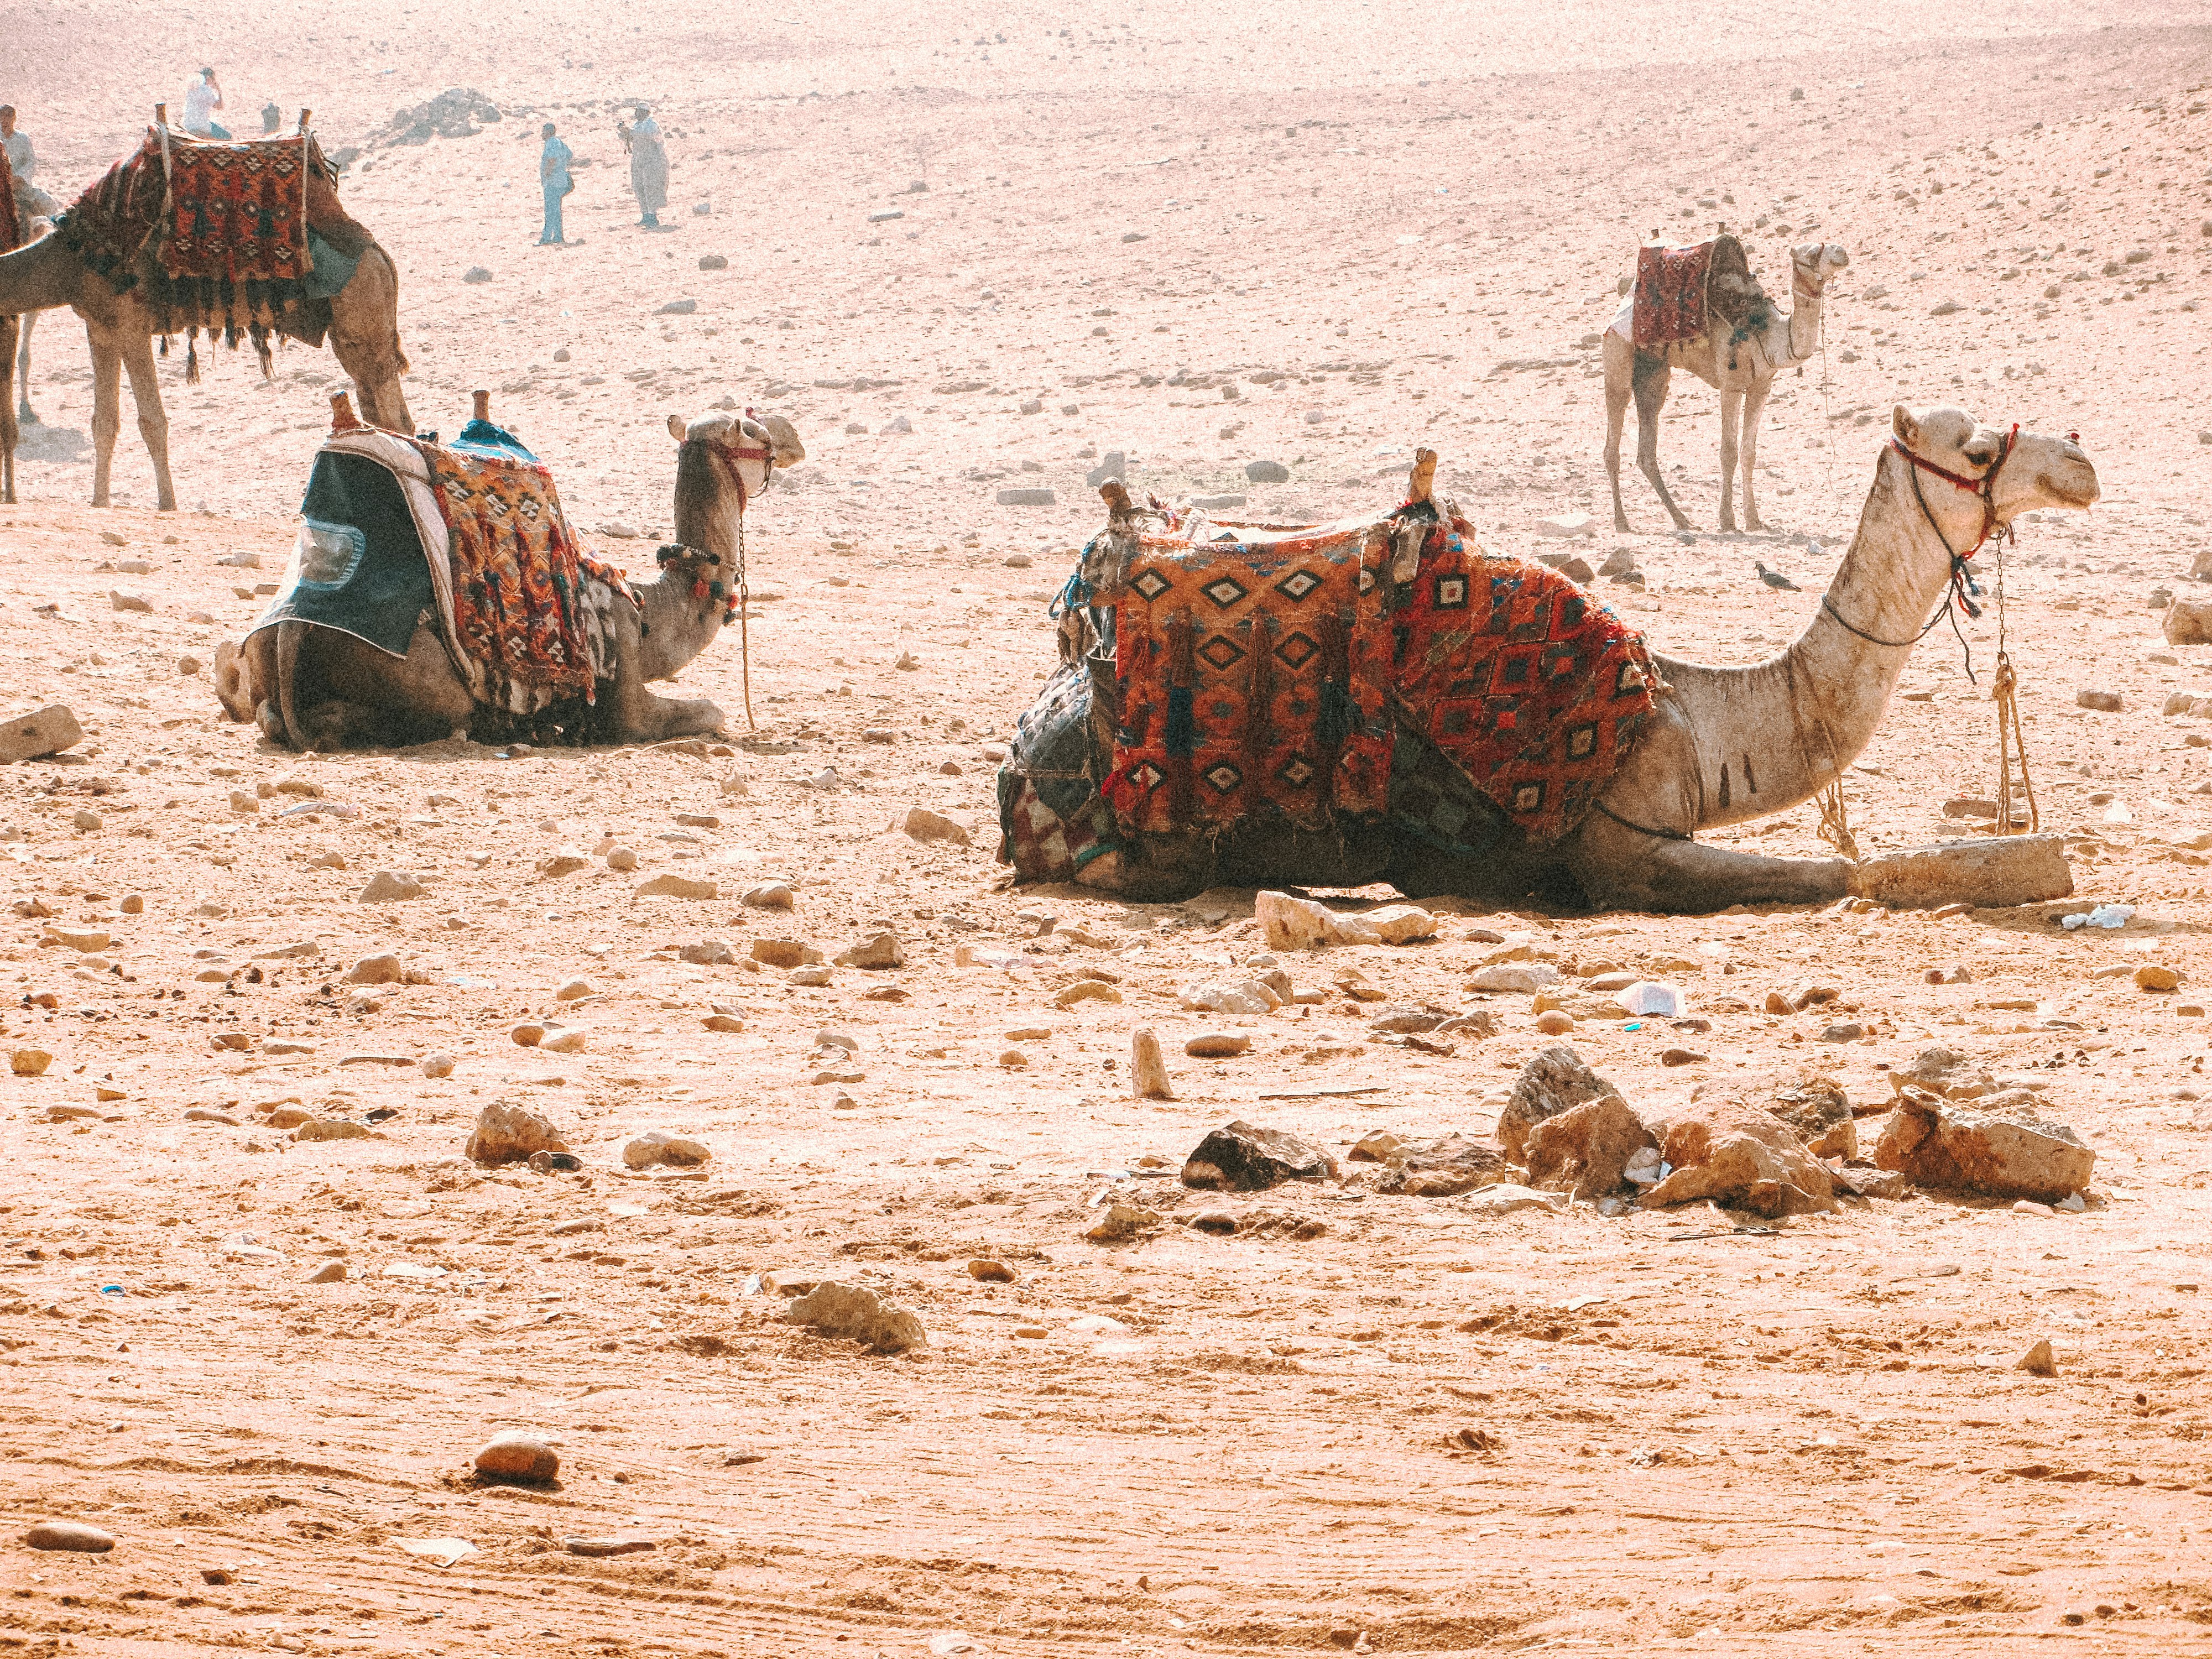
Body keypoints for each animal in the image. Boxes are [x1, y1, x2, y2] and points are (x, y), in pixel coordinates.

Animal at [0, 129, 416, 511]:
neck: (74, 256)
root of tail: (381, 256)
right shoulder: (99, 327)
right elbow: (104, 422)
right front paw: (99, 503)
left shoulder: (131, 324)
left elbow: (153, 422)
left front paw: (167, 506)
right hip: (351, 333)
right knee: (378, 407)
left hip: (364, 313)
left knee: (391, 412)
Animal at [209, 405, 805, 752]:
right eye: (755, 430)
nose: (795, 440)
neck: (647, 609)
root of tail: (289, 629)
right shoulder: (625, 697)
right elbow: (710, 711)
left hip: (264, 652)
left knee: (267, 713)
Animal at [1013, 407, 2097, 916]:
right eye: (1976, 446)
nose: (2081, 464)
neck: (1690, 715)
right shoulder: (1622, 848)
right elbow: (1843, 873)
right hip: (1144, 850)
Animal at [1610, 240, 1849, 535]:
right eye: (1814, 252)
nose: (1842, 254)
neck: (1768, 332)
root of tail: (1623, 307)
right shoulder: (1731, 385)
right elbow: (1728, 453)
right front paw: (1727, 521)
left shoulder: (1761, 387)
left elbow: (1749, 453)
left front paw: (1754, 519)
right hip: (1617, 352)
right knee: (1614, 434)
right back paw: (1622, 522)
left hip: (1653, 373)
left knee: (1646, 446)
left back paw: (1682, 520)